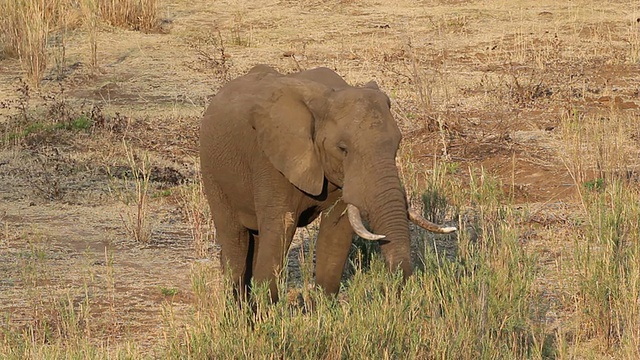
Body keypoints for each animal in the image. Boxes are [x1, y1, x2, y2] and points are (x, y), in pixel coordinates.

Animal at [200, 64, 456, 300]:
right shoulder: (270, 160)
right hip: (212, 171)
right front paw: (266, 313)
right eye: (342, 149)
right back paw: (238, 309)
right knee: (235, 238)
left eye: (397, 144)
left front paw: (321, 308)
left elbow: (337, 229)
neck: (325, 98)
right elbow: (280, 226)